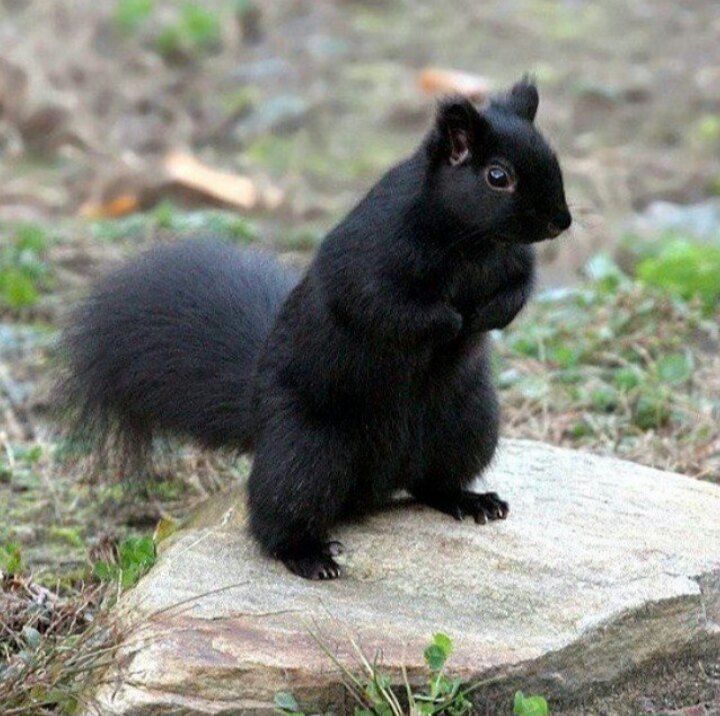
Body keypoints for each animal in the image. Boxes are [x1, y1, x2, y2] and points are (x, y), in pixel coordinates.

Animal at [57, 79, 571, 580]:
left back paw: (469, 500)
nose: (561, 221)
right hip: (307, 453)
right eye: (497, 177)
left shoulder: (514, 261)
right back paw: (308, 555)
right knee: (276, 516)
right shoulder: (369, 257)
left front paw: (486, 317)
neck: (473, 243)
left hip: (468, 425)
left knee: (431, 483)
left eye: (552, 155)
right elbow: (384, 306)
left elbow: (518, 289)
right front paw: (452, 321)